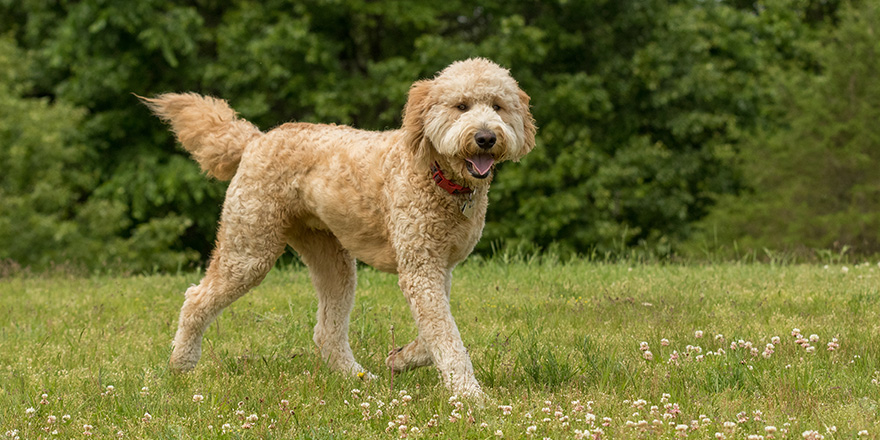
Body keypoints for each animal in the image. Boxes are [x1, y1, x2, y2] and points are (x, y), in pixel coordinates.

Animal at [143, 56, 536, 398]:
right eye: (461, 106)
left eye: (498, 106)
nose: (486, 137)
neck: (436, 174)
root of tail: (255, 139)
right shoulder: (421, 269)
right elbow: (446, 337)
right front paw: (470, 396)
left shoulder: (438, 268)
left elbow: (435, 332)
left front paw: (402, 359)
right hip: (249, 248)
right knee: (196, 298)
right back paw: (181, 364)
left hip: (332, 259)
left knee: (326, 332)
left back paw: (358, 377)